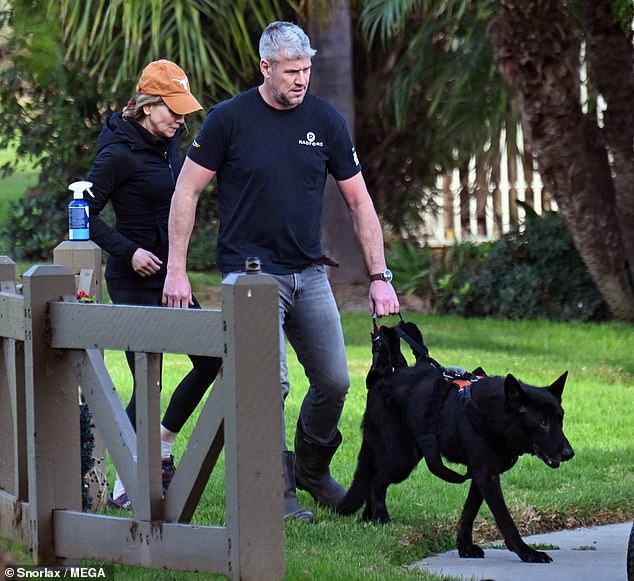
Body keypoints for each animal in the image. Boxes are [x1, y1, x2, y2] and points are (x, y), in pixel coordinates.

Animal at [338, 322, 576, 560]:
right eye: (542, 423)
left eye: (560, 419)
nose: (569, 453)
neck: (496, 415)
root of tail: (382, 379)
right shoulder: (486, 476)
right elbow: (505, 520)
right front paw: (526, 552)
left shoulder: (481, 475)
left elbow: (468, 513)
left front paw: (464, 546)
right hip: (401, 458)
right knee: (376, 481)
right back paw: (380, 517)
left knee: (372, 479)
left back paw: (369, 518)